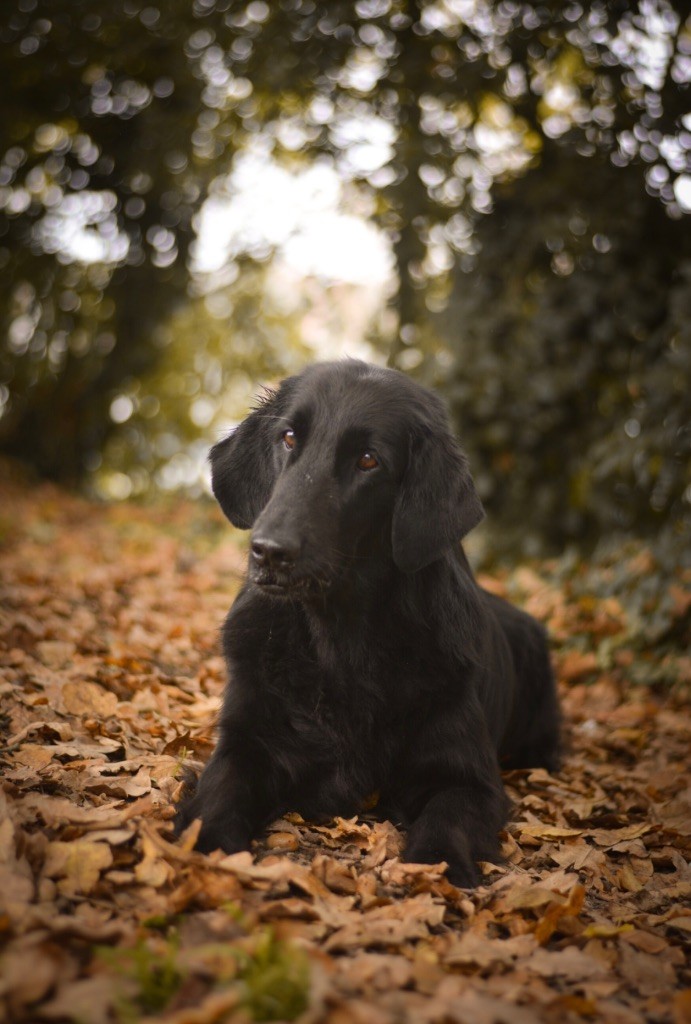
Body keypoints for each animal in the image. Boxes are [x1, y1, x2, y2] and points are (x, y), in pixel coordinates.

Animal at [178, 362, 560, 888]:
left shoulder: (468, 778)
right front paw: (205, 843)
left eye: (367, 460)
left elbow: (446, 818)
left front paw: (436, 867)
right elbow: (218, 791)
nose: (269, 552)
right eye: (289, 438)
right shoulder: (248, 740)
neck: (341, 640)